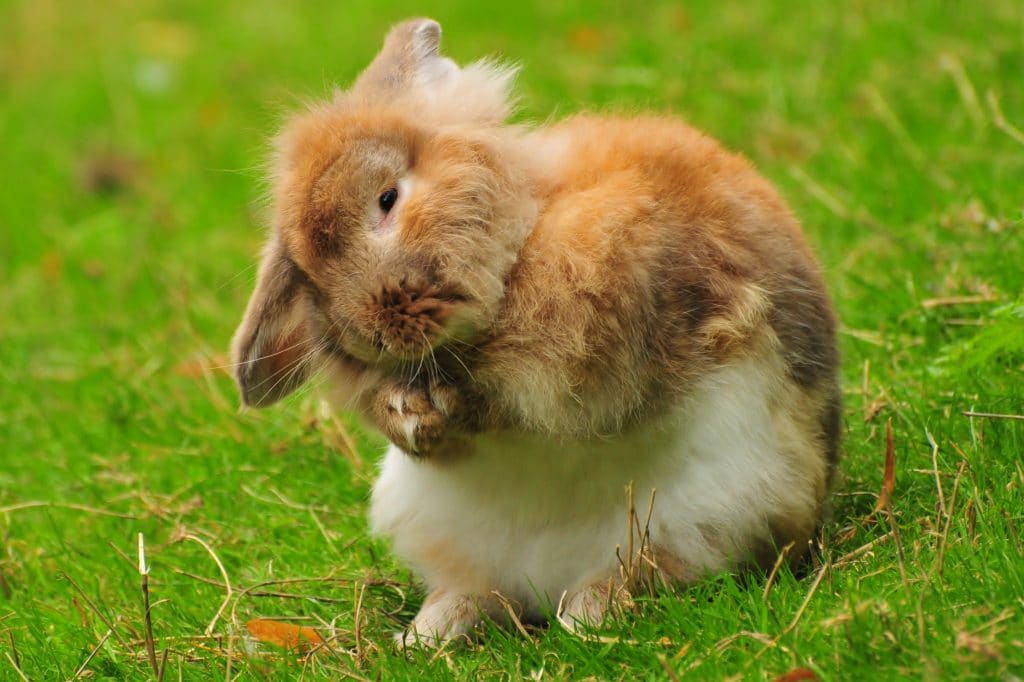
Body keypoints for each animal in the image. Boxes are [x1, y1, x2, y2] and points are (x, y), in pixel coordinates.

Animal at [230, 15, 839, 643]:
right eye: (307, 269)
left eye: (388, 198)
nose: (369, 331)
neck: (520, 242)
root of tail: (547, 583)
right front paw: (406, 417)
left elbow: (535, 398)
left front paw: (444, 405)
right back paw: (425, 635)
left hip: (712, 512)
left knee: (650, 571)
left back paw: (586, 615)